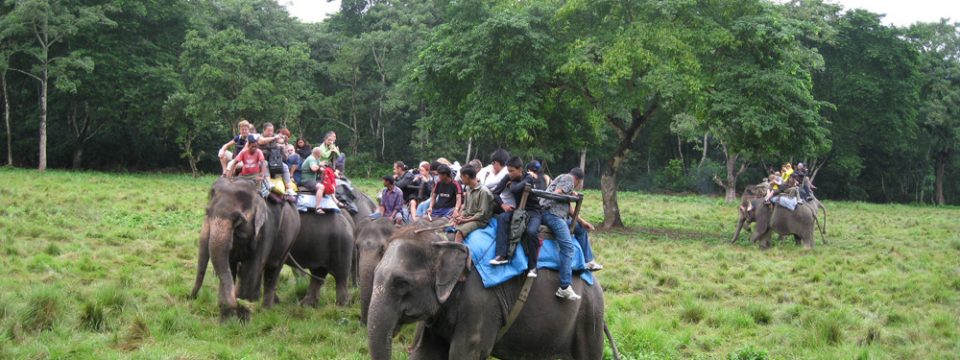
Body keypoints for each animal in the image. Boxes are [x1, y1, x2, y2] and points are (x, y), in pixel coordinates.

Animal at [191, 177, 300, 320]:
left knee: (273, 270)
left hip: (291, 239)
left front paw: (242, 309)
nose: (192, 297)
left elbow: (251, 269)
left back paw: (266, 310)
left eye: (238, 218)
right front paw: (227, 317)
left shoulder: (267, 229)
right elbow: (230, 266)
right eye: (207, 211)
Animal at [370, 226, 608, 358]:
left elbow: (465, 353)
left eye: (401, 283)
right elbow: (426, 353)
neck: (445, 243)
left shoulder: (480, 303)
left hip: (588, 317)